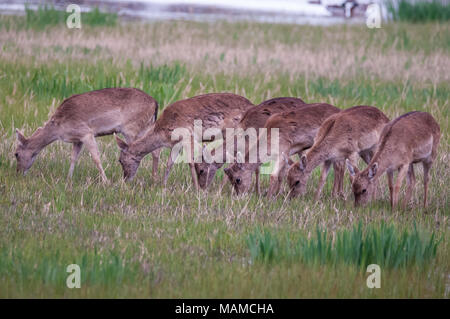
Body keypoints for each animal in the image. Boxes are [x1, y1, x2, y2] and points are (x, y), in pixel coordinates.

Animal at [14, 88, 160, 182]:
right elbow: (73, 157)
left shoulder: (86, 132)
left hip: (132, 129)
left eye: (16, 154)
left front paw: (106, 182)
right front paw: (68, 179)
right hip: (146, 127)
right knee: (155, 150)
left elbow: (96, 157)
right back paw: (154, 179)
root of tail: (155, 103)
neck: (59, 129)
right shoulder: (77, 139)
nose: (18, 173)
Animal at [114, 92, 255, 189]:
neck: (162, 132)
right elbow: (169, 163)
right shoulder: (176, 144)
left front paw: (196, 188)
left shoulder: (188, 135)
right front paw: (162, 186)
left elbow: (191, 162)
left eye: (120, 160)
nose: (125, 179)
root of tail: (252, 105)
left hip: (232, 132)